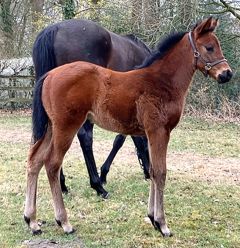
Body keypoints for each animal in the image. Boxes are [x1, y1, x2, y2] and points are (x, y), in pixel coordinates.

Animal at [23, 17, 232, 236]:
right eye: (209, 47)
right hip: (66, 127)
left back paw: (32, 221)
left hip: (50, 128)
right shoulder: (159, 131)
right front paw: (162, 224)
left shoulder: (150, 133)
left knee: (34, 160)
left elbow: (153, 170)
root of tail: (49, 75)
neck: (161, 81)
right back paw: (65, 220)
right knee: (53, 164)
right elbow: (160, 172)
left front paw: (152, 218)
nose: (227, 74)